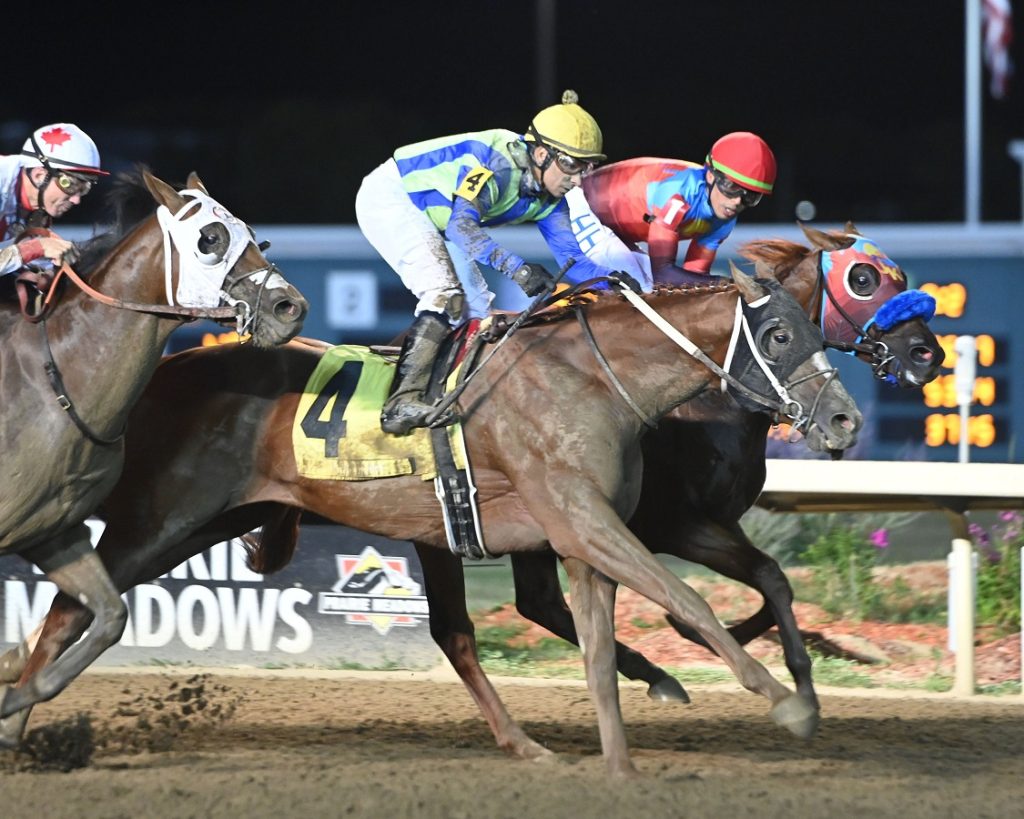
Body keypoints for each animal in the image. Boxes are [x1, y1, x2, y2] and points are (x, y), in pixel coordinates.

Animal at [0, 164, 307, 724]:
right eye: (211, 239)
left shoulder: (54, 530)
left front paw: (14, 697)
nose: (289, 306)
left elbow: (109, 617)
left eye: (254, 234)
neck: (58, 383)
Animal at [4, 270, 860, 773]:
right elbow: (689, 602)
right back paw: (19, 720)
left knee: (77, 604)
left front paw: (619, 768)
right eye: (778, 334)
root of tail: (166, 367)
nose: (846, 419)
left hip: (213, 521)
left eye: (819, 329)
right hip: (160, 519)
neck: (589, 377)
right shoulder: (588, 521)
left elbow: (597, 653)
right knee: (73, 607)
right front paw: (786, 701)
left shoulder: (586, 535)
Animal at [509, 225, 942, 708]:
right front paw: (693, 630)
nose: (928, 354)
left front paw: (795, 673)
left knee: (539, 602)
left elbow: (772, 577)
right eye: (863, 280)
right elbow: (753, 580)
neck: (711, 404)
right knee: (541, 602)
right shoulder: (672, 526)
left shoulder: (723, 520)